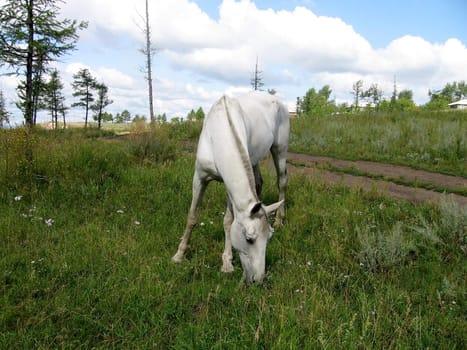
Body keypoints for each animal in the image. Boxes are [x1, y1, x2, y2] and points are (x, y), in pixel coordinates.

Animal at [172, 91, 288, 284]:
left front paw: (226, 263)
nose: (258, 279)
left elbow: (228, 221)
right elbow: (192, 216)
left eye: (269, 237)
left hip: (280, 149)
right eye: (249, 239)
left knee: (282, 182)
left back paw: (279, 220)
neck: (218, 135)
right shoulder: (199, 178)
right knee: (259, 182)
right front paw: (179, 255)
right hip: (254, 159)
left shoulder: (229, 187)